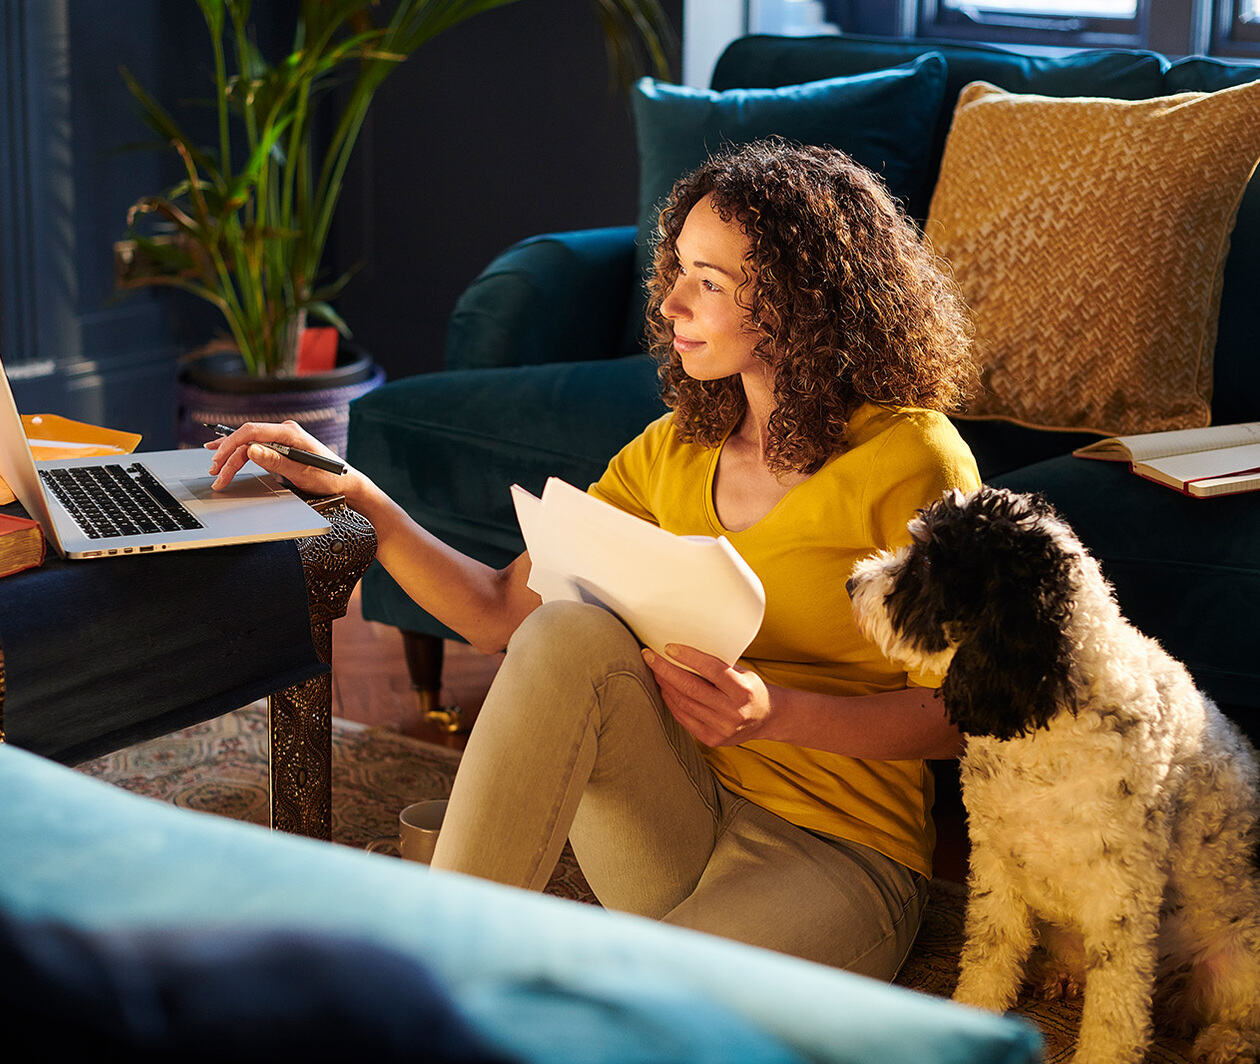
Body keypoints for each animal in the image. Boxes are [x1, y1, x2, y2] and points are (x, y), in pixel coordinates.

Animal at [846, 489, 1260, 1064]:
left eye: (927, 565)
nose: (851, 583)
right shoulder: (996, 860)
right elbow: (988, 956)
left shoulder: (1121, 894)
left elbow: (1114, 1017)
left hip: (1240, 957)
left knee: (1238, 1013)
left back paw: (1223, 1042)